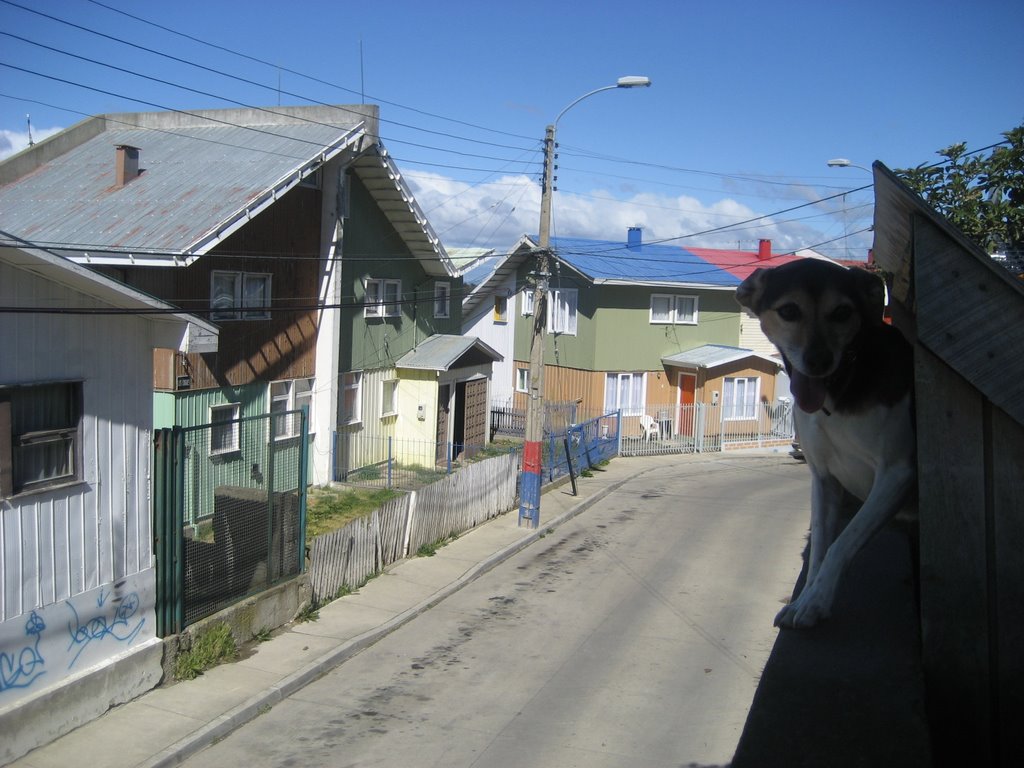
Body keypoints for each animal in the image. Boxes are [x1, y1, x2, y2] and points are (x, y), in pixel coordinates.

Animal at [741, 260, 917, 630]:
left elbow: (842, 543)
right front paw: (804, 599)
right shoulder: (823, 477)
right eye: (789, 311)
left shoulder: (898, 473)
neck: (838, 391)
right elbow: (821, 546)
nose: (818, 360)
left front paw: (816, 602)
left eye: (842, 313)